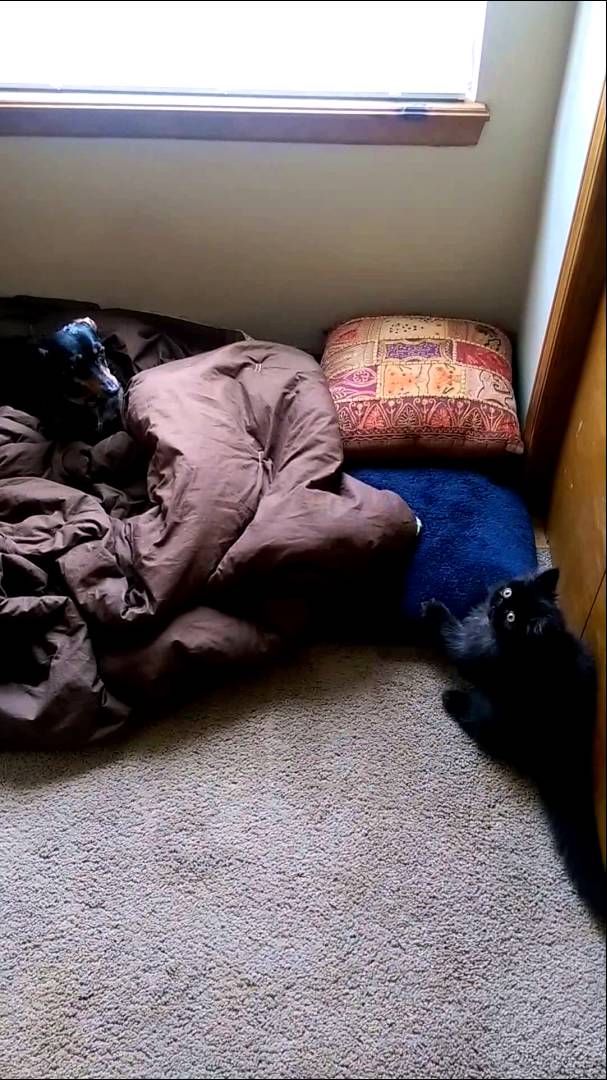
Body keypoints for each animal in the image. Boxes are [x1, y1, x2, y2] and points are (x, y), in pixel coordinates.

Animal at [423, 565, 600, 920]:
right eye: (507, 596)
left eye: (511, 618)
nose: (495, 605)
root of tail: (569, 753)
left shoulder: (474, 654)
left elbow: (452, 636)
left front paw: (434, 611)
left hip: (496, 712)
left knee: (481, 729)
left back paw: (453, 700)